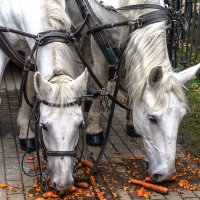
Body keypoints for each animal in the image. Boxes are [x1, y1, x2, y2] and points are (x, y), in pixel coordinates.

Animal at [0, 0, 87, 195]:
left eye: (79, 125)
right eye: (44, 126)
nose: (63, 184)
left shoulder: (31, 48)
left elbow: (29, 88)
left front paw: (25, 133)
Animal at [67, 0, 200, 182]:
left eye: (181, 116)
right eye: (152, 118)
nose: (166, 174)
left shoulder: (128, 42)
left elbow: (133, 80)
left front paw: (131, 123)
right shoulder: (99, 36)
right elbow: (100, 78)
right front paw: (94, 130)